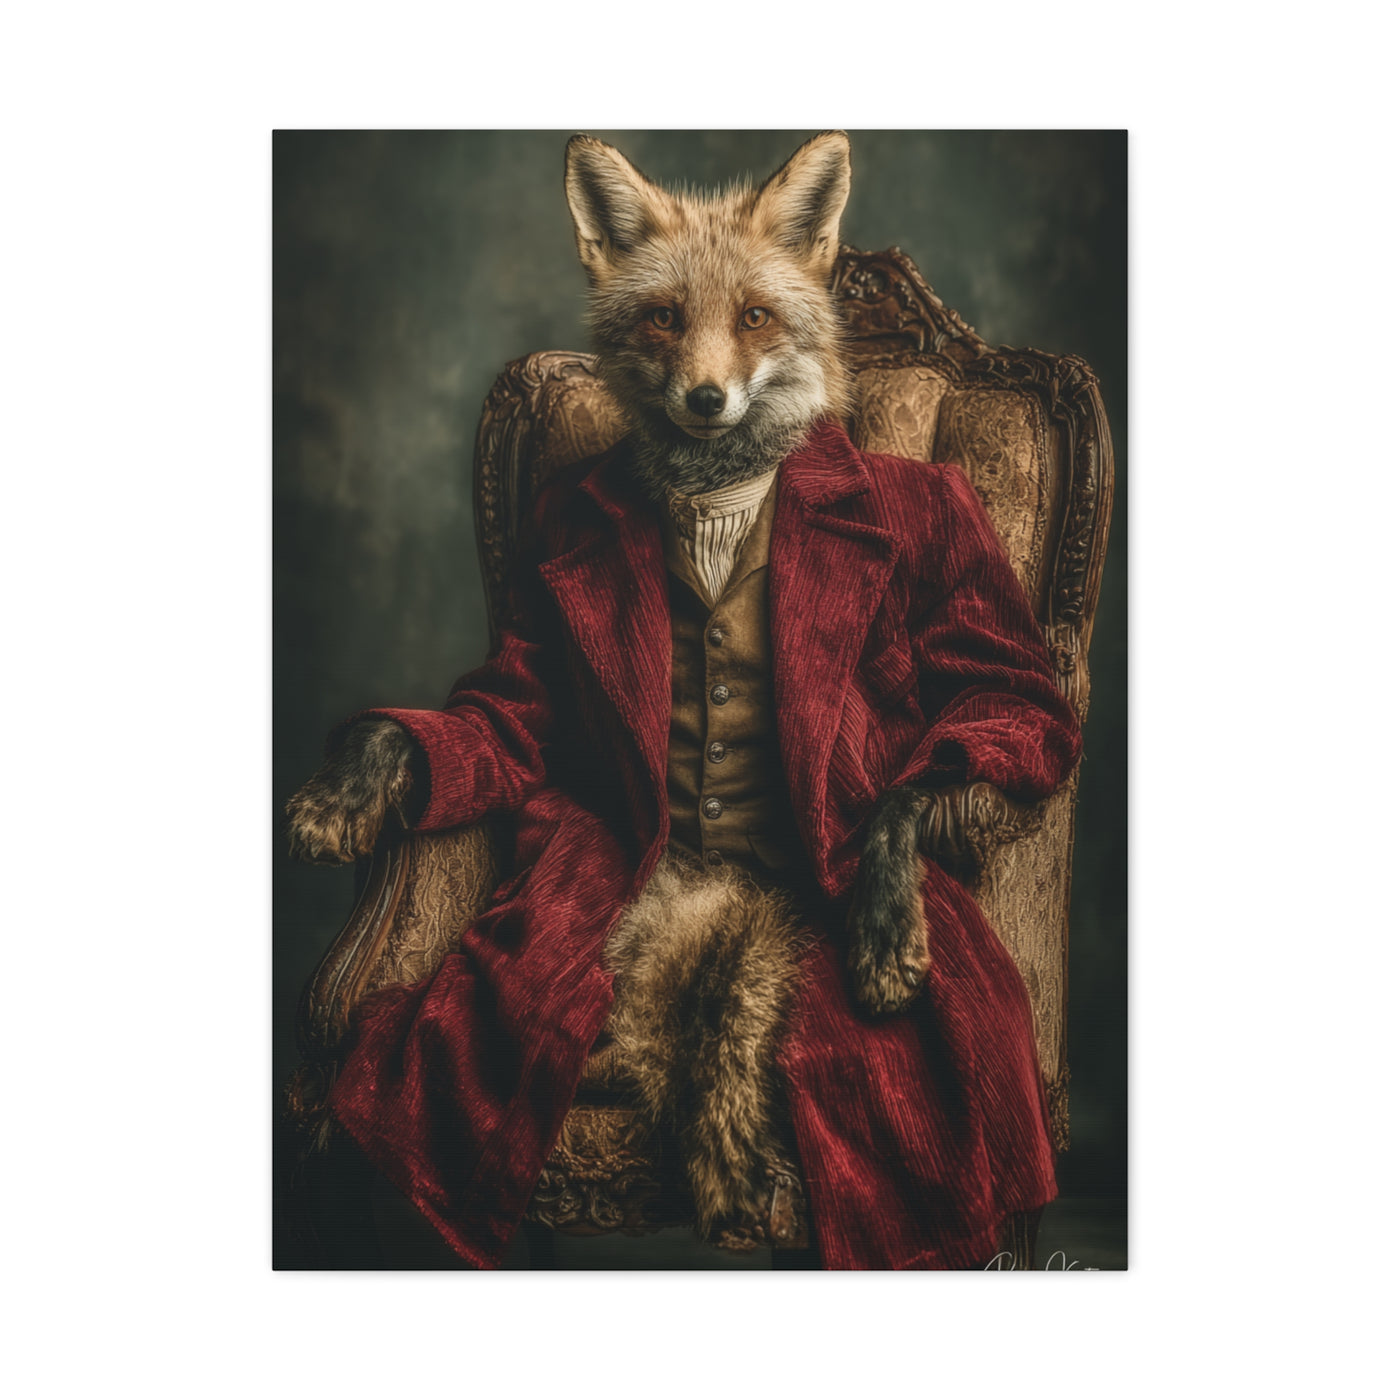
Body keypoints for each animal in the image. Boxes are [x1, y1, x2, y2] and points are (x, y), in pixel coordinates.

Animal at [286, 132, 951, 1237]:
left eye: (755, 318)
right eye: (664, 318)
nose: (705, 400)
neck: (719, 496)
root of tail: (708, 891)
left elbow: (920, 777)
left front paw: (888, 922)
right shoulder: (523, 674)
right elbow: (427, 727)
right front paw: (342, 796)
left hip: (756, 940)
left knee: (718, 1035)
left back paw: (747, 1166)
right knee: (669, 1055)